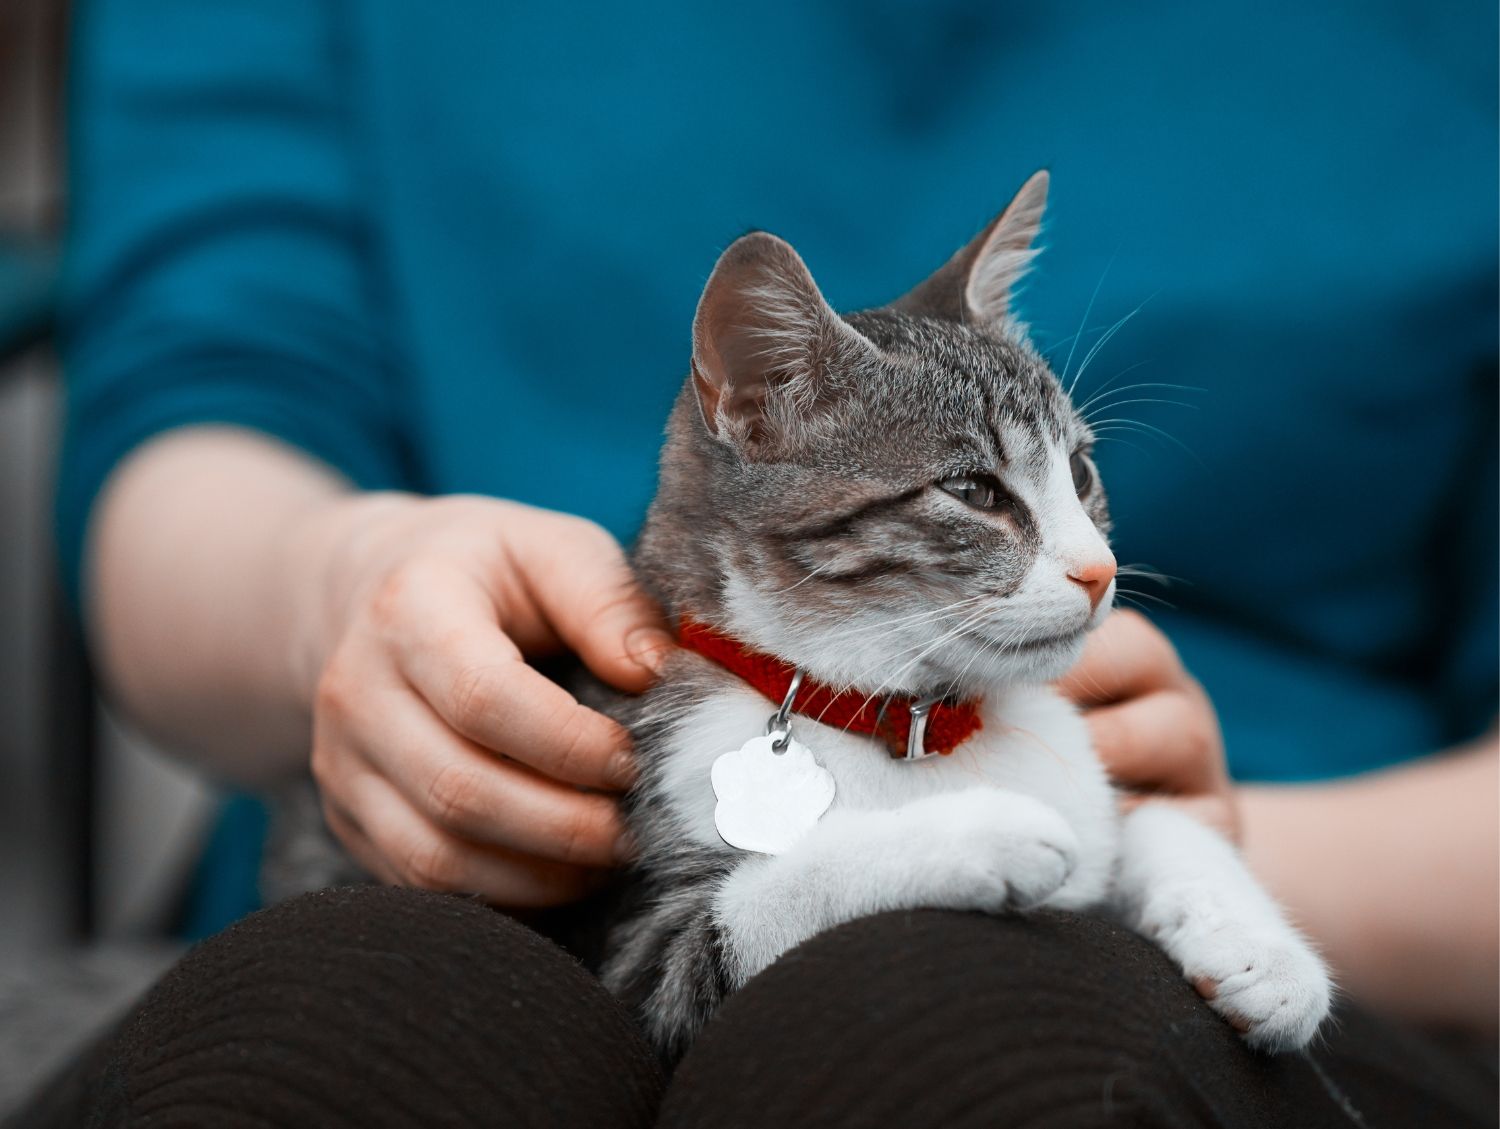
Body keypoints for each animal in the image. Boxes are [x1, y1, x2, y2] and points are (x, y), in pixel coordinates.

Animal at [603, 171, 1332, 1061]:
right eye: (974, 491)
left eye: (1080, 471)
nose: (1100, 571)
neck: (923, 719)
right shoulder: (639, 951)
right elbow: (759, 898)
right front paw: (979, 830)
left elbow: (1155, 821)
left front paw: (1265, 953)